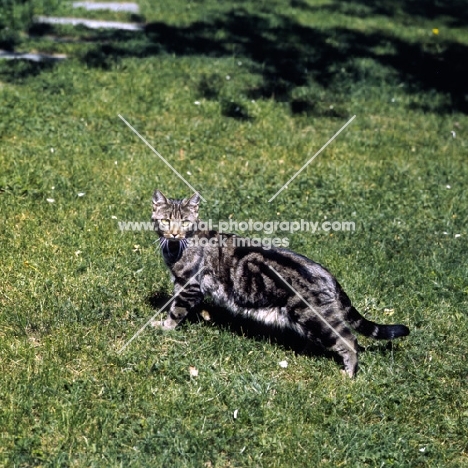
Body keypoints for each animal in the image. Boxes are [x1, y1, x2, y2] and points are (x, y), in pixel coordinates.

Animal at [151, 190, 410, 376]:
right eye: (165, 220)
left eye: (185, 221)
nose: (174, 234)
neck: (176, 248)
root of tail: (329, 275)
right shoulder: (182, 284)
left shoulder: (189, 285)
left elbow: (176, 311)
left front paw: (164, 327)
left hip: (316, 317)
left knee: (349, 340)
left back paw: (349, 374)